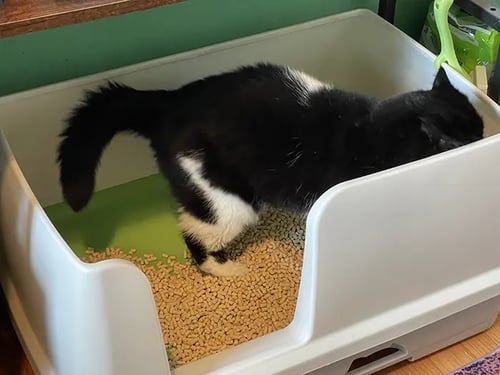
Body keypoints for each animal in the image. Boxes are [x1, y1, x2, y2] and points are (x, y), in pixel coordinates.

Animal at [56, 63, 482, 278]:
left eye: (479, 127)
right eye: (471, 136)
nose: (484, 136)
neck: (378, 130)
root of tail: (170, 103)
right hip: (227, 199)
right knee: (194, 230)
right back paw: (227, 270)